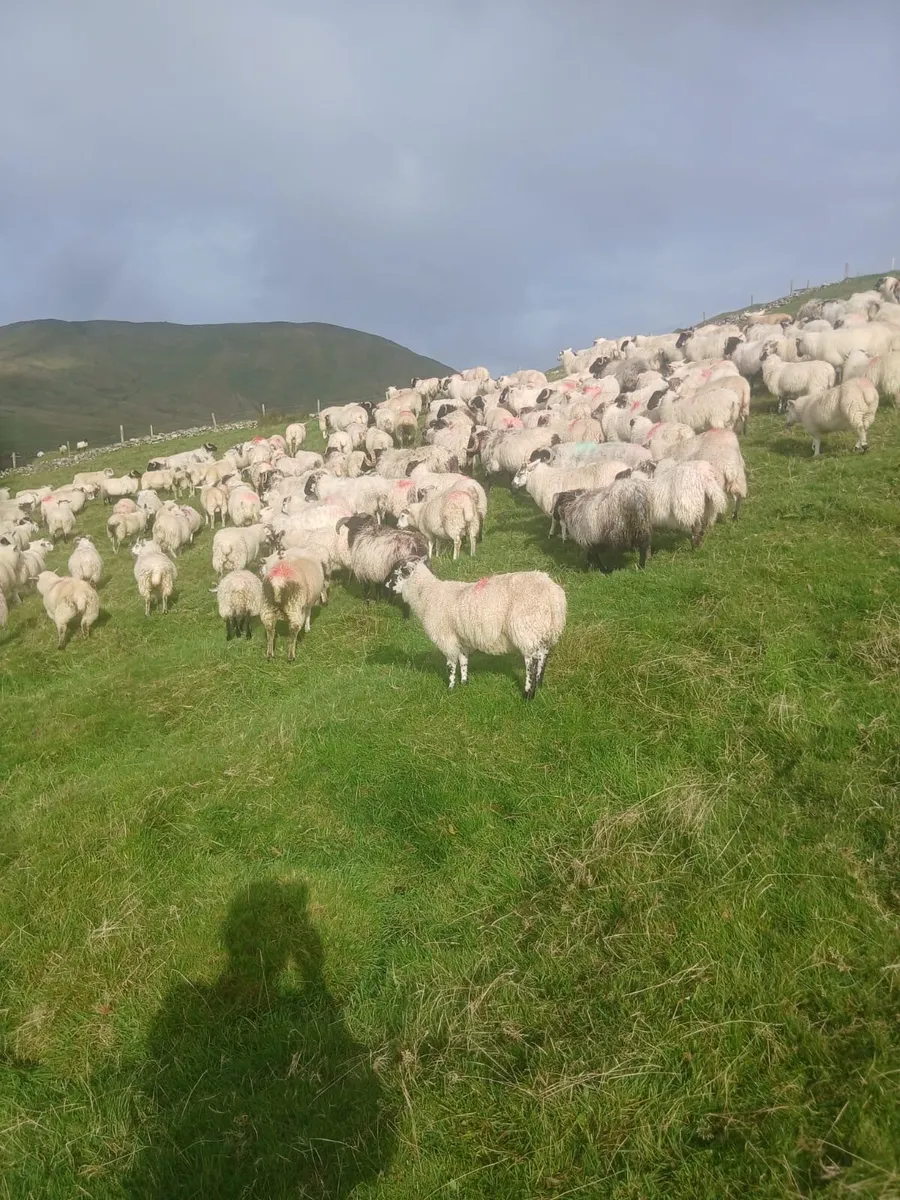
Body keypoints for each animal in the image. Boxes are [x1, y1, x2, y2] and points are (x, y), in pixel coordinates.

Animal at [388, 558, 566, 699]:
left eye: (396, 574)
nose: (386, 587)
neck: (426, 595)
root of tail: (553, 593)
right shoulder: (461, 637)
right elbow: (463, 660)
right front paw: (464, 683)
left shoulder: (446, 637)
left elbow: (450, 665)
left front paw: (450, 688)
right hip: (544, 631)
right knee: (543, 656)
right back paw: (539, 684)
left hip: (526, 629)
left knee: (532, 663)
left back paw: (528, 694)